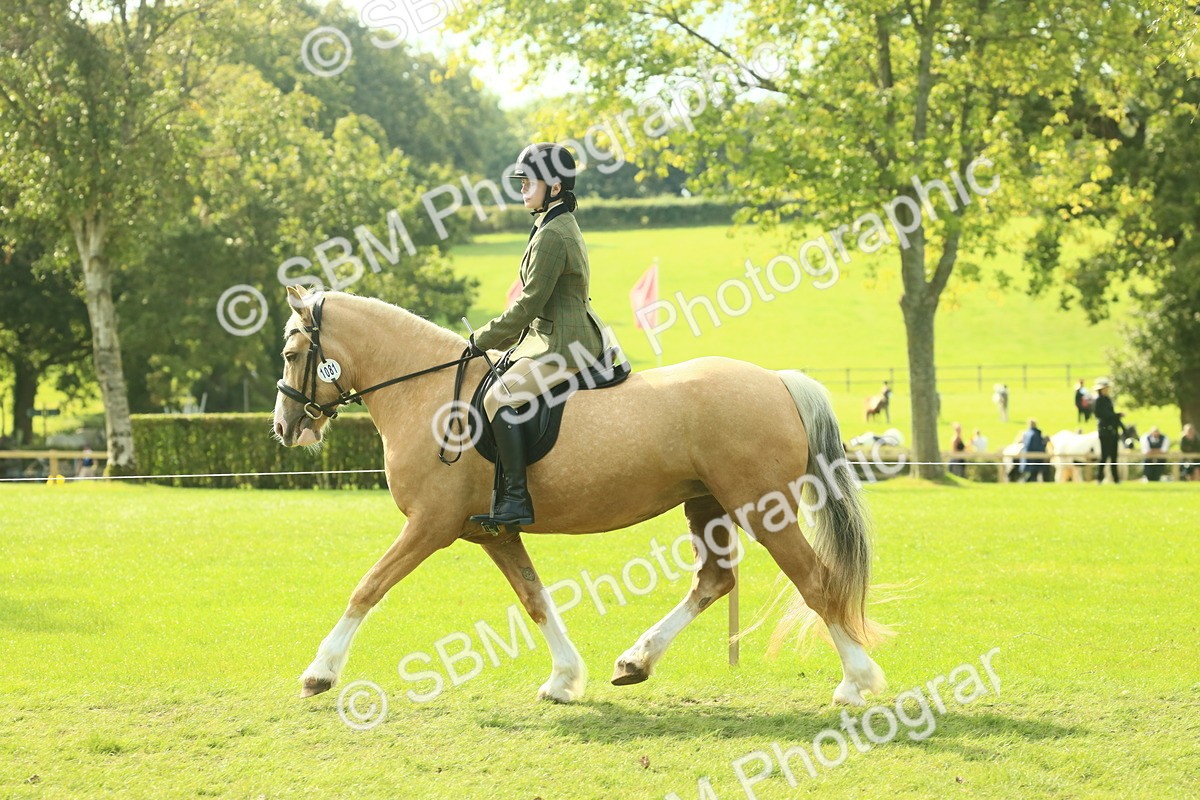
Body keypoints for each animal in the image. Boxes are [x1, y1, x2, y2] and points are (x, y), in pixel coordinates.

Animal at [273, 287, 888, 708]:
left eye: (290, 352)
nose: (284, 427)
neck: (430, 394)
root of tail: (778, 380)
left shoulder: (431, 525)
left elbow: (368, 586)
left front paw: (320, 672)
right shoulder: (491, 531)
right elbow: (534, 598)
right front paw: (564, 679)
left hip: (763, 511)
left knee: (816, 582)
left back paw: (856, 683)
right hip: (706, 505)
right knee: (715, 581)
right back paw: (635, 661)